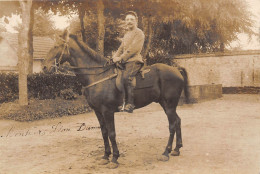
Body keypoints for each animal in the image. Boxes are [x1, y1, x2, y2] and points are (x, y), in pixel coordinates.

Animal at [43, 30, 190, 169]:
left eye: (56, 46)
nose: (45, 67)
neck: (97, 76)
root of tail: (176, 70)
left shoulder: (108, 111)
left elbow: (112, 133)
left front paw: (114, 158)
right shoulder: (98, 112)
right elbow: (104, 132)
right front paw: (105, 156)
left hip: (169, 105)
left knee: (172, 125)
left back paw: (166, 152)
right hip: (165, 104)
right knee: (177, 121)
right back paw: (176, 149)